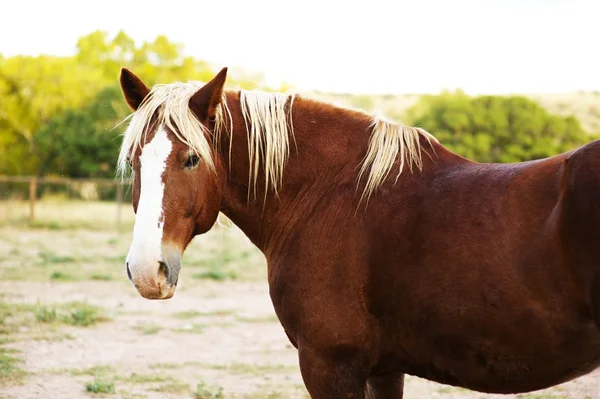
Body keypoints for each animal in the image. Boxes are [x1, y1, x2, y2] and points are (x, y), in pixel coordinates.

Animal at [116, 67, 600, 398]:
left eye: (192, 158)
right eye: (135, 159)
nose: (147, 270)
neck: (330, 194)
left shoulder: (331, 364)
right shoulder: (383, 368)